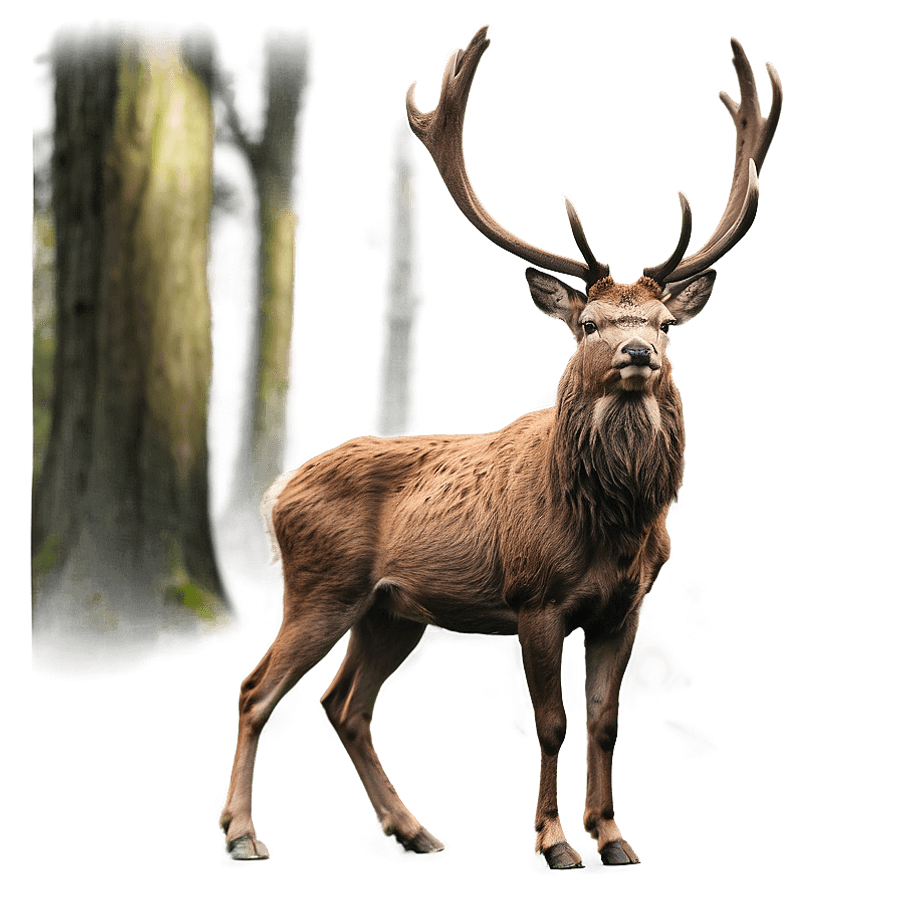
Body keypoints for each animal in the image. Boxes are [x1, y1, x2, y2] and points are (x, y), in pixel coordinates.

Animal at [218, 24, 782, 870]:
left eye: (664, 324)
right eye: (588, 324)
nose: (638, 356)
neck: (611, 525)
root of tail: (276, 492)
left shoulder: (626, 606)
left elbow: (607, 722)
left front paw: (614, 838)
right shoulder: (533, 598)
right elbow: (550, 723)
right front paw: (553, 842)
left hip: (392, 612)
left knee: (343, 703)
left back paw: (415, 830)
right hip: (321, 586)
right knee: (259, 690)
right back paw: (243, 833)